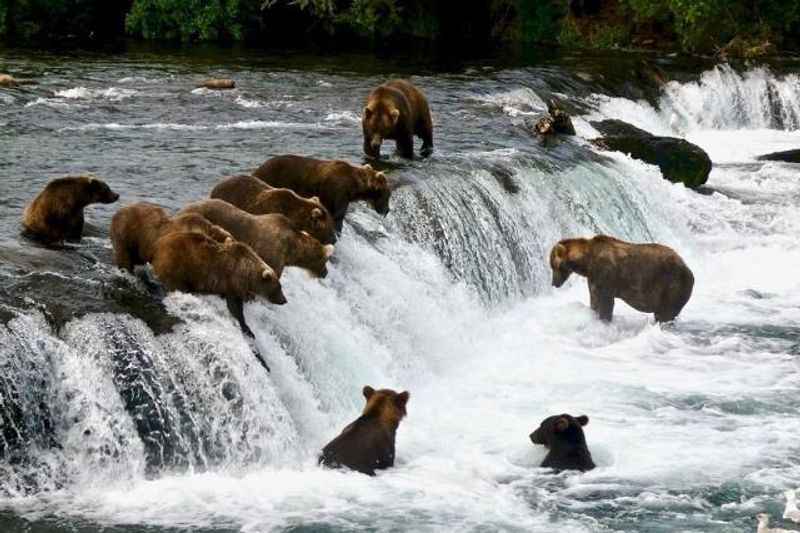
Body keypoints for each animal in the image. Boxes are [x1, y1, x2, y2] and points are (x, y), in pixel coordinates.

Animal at [250, 152, 388, 231]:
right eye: (387, 195)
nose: (387, 210)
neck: (354, 185)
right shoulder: (338, 190)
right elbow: (337, 212)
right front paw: (337, 226)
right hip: (274, 175)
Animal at [552, 235, 692, 322]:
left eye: (553, 266)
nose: (554, 283)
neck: (587, 262)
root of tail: (688, 268)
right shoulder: (593, 278)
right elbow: (594, 299)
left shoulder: (605, 273)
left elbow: (605, 302)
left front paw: (604, 320)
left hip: (672, 286)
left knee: (665, 313)